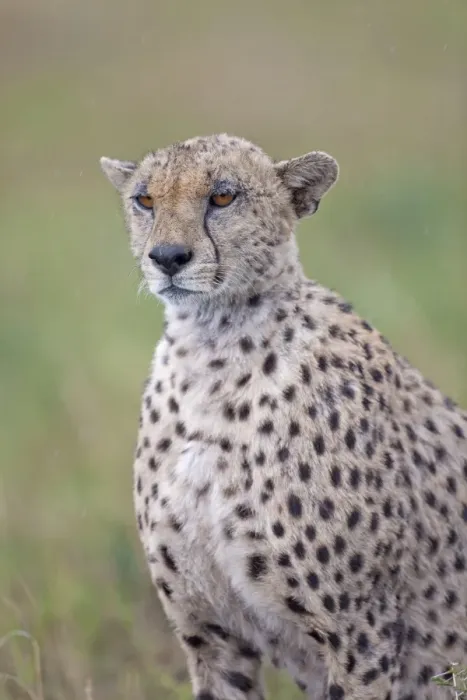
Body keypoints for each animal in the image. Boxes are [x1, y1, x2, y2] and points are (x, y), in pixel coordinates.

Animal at [100, 133, 467, 699]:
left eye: (223, 197)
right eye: (145, 200)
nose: (167, 257)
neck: (213, 350)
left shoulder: (362, 638)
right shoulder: (210, 635)